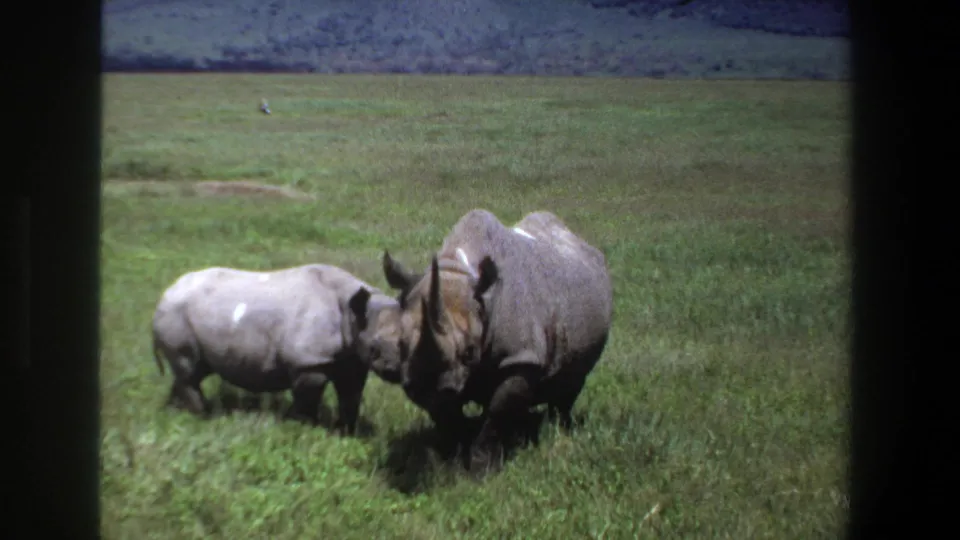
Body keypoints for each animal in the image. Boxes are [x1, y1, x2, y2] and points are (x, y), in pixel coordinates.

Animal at [151, 263, 401, 434]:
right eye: (374, 347)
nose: (395, 371)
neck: (352, 312)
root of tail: (164, 296)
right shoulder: (308, 362)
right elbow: (307, 402)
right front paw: (304, 431)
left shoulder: (352, 360)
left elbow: (351, 397)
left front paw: (346, 433)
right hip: (175, 314)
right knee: (190, 372)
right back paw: (202, 417)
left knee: (193, 371)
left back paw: (176, 413)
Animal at [379, 209, 614, 471]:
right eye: (400, 344)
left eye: (469, 351)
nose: (422, 383)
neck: (458, 270)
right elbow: (447, 415)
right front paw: (451, 459)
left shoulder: (521, 357)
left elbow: (498, 412)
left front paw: (480, 469)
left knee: (571, 383)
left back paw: (558, 431)